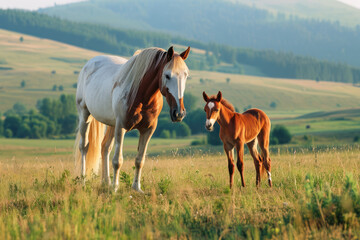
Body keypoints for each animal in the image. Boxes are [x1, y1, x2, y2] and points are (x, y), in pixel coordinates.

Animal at [74, 46, 190, 193]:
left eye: (186, 75)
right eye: (167, 75)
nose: (179, 113)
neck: (141, 95)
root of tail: (89, 64)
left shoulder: (148, 130)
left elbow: (140, 160)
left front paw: (136, 188)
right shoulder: (121, 127)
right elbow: (118, 161)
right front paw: (115, 188)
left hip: (111, 124)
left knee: (105, 147)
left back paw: (106, 182)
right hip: (85, 115)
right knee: (84, 147)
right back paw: (84, 182)